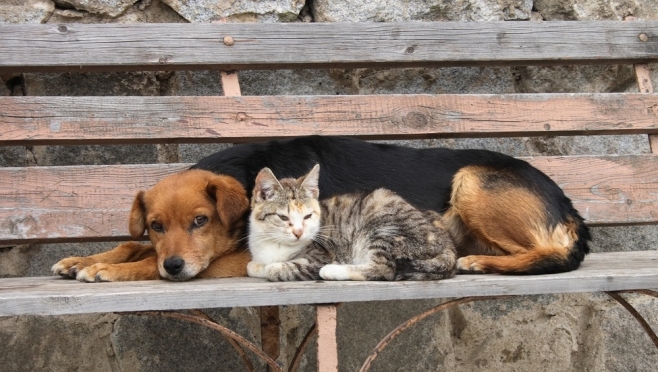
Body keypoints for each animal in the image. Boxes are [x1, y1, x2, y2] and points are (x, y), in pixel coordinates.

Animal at [243, 164, 454, 280]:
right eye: (283, 217)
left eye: (308, 216)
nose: (299, 232)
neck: (274, 244)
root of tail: (447, 243)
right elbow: (251, 266)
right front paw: (258, 266)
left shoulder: (320, 256)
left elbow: (276, 269)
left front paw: (270, 267)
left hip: (385, 227)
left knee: (384, 269)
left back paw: (333, 271)